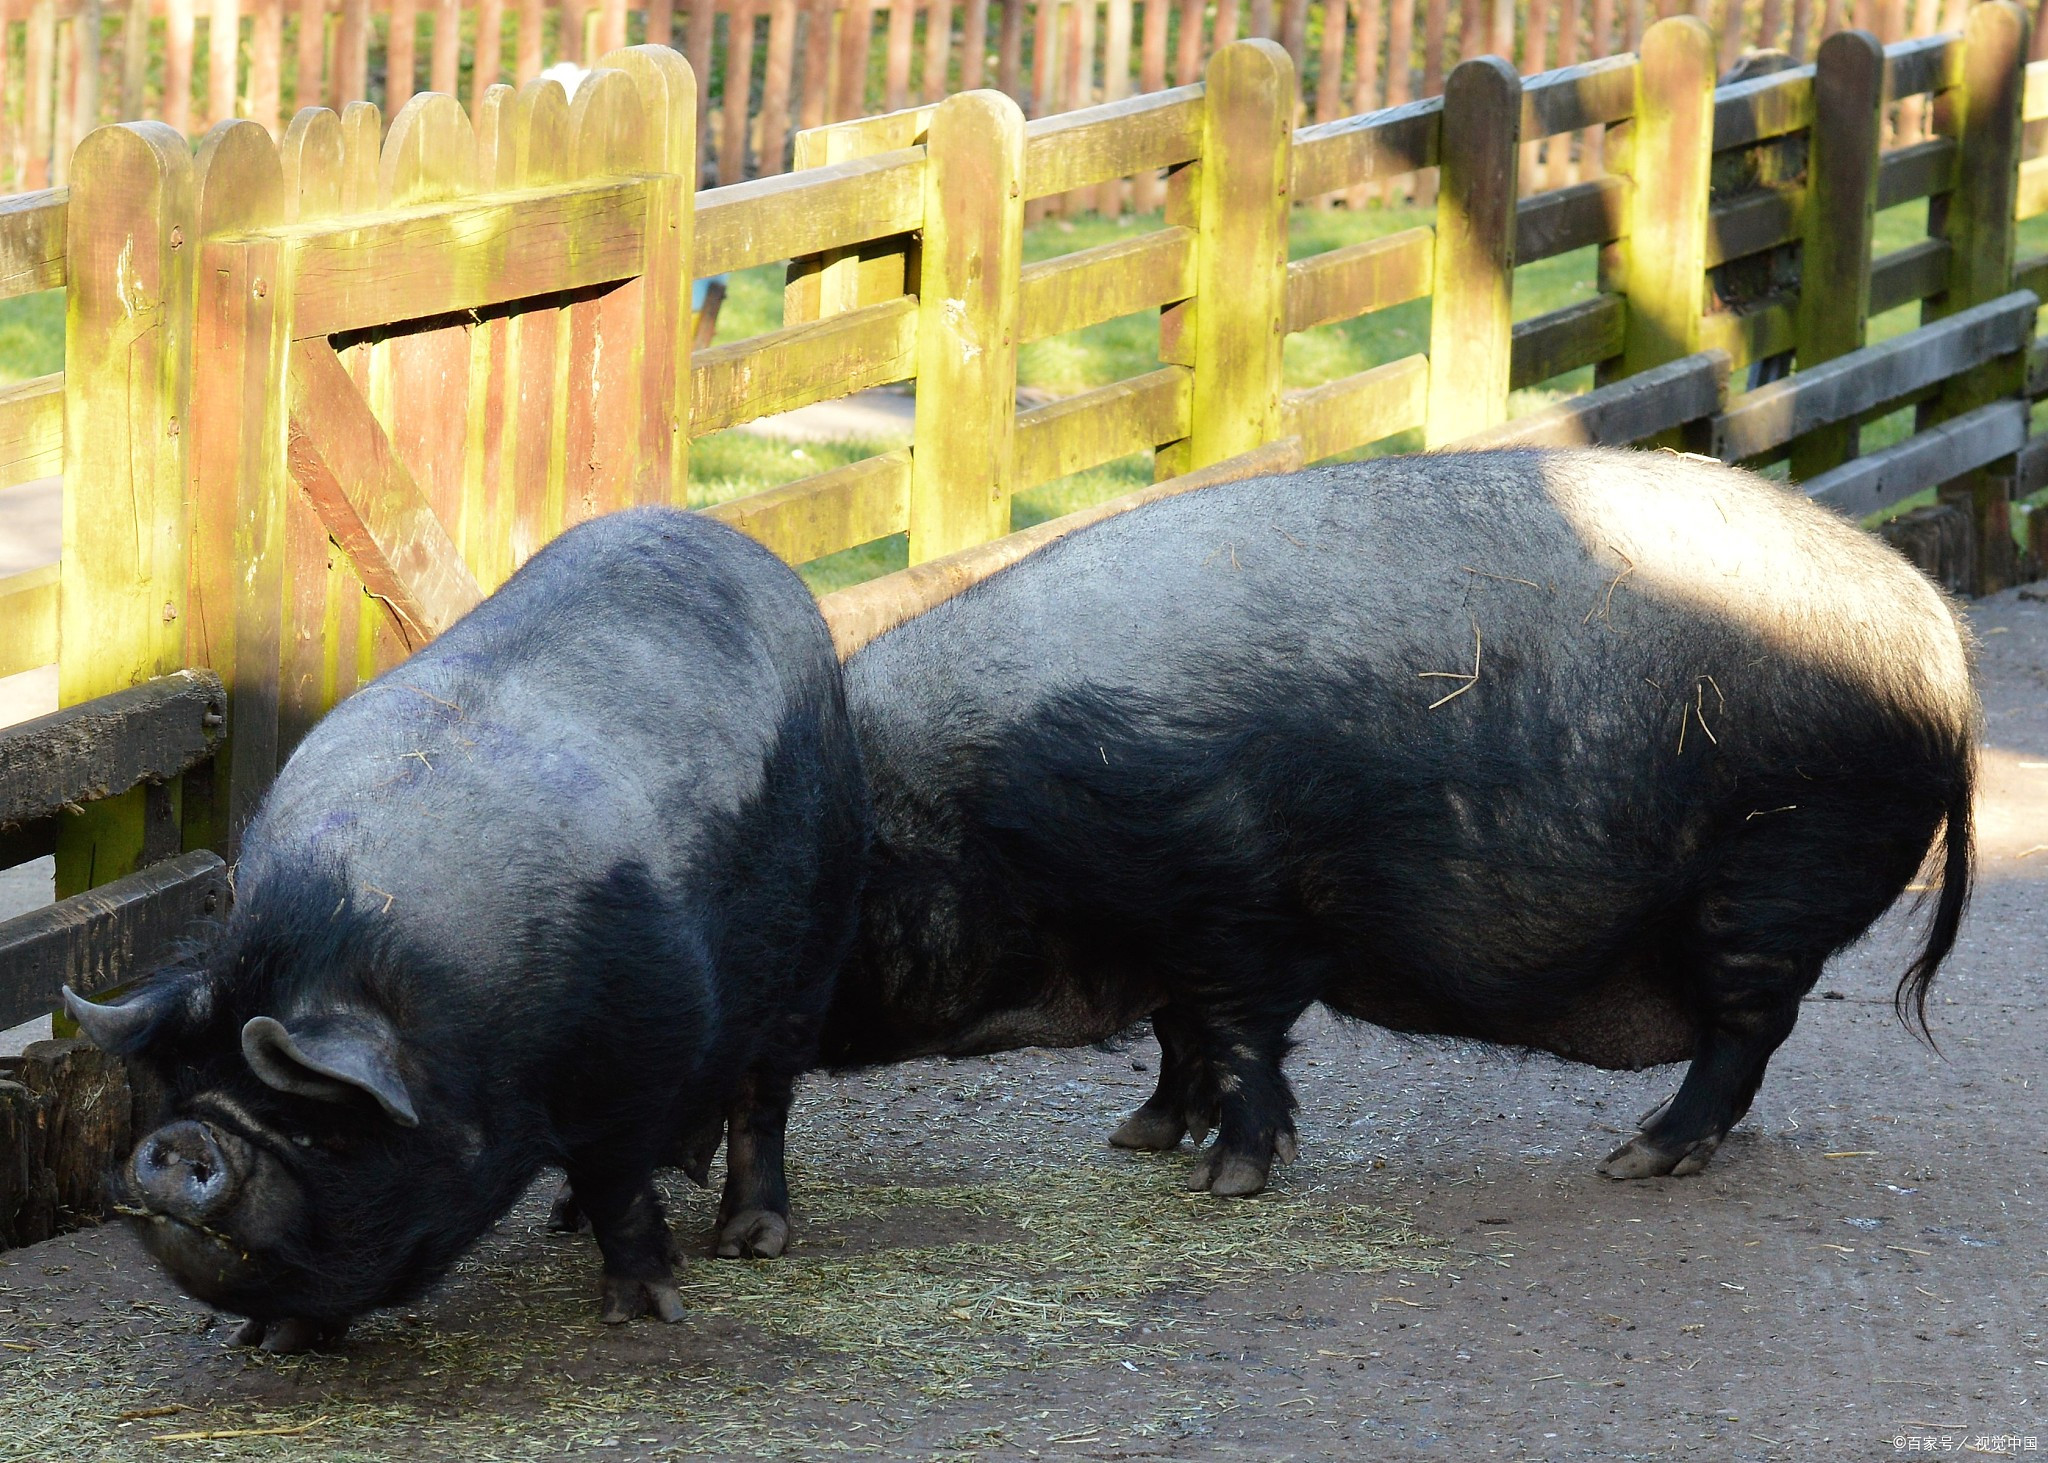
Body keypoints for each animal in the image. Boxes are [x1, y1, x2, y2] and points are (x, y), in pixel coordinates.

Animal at [64, 504, 864, 1344]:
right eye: (179, 1085)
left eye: (321, 1127)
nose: (185, 1140)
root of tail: (746, 551)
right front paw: (273, 1341)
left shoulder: (641, 1048)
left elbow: (618, 1178)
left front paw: (645, 1310)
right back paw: (563, 1220)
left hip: (821, 933)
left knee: (763, 1096)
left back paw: (749, 1242)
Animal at [815, 450, 1982, 1188]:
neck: (984, 810)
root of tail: (1943, 649)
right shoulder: (1178, 928)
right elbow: (1178, 1031)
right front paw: (1135, 1138)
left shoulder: (1225, 903)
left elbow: (1237, 1034)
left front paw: (1224, 1181)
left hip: (1779, 867)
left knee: (1747, 1028)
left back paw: (1633, 1161)